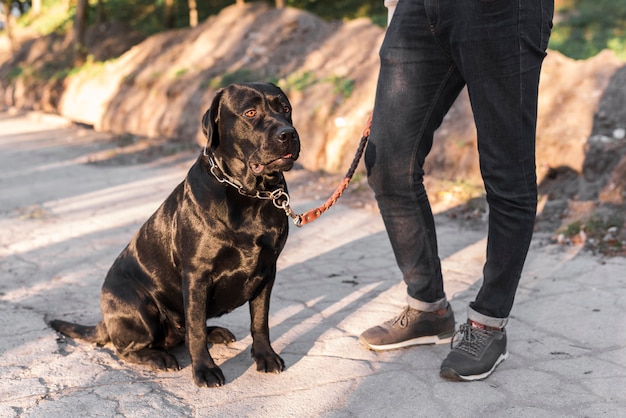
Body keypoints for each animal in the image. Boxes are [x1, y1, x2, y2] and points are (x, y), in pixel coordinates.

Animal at [50, 82, 298, 388]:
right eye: (250, 112)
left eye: (285, 109)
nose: (288, 134)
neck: (249, 194)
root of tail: (105, 321)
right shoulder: (196, 275)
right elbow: (196, 329)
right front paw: (204, 369)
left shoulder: (267, 270)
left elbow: (260, 320)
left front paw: (265, 356)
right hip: (141, 306)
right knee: (129, 348)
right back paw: (159, 357)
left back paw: (215, 332)